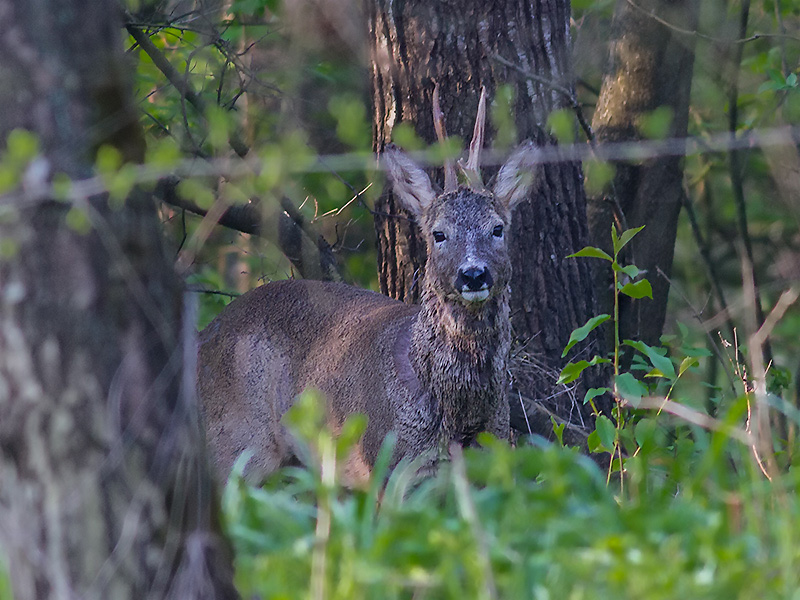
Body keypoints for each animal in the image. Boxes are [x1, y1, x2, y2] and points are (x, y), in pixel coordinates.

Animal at [198, 90, 536, 482]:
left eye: (497, 228)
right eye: (438, 234)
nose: (473, 274)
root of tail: (202, 339)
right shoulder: (388, 464)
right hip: (236, 445)